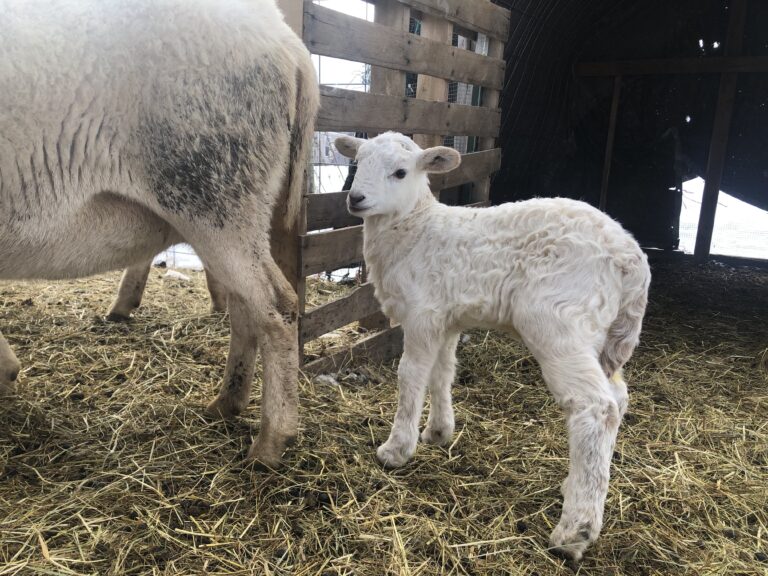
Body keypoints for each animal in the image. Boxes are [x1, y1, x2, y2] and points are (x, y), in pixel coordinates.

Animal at [0, 0, 319, 466]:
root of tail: (285, 40)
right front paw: (5, 371)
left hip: (213, 187)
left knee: (278, 309)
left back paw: (270, 443)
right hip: (225, 205)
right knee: (248, 308)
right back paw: (226, 403)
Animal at [334, 132, 651, 561]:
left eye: (400, 172)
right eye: (358, 162)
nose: (356, 199)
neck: (415, 228)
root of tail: (630, 258)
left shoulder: (422, 313)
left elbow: (410, 376)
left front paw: (397, 449)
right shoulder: (446, 317)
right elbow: (442, 373)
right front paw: (438, 432)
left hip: (559, 322)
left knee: (596, 408)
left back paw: (575, 532)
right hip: (602, 336)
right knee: (617, 398)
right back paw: (578, 487)